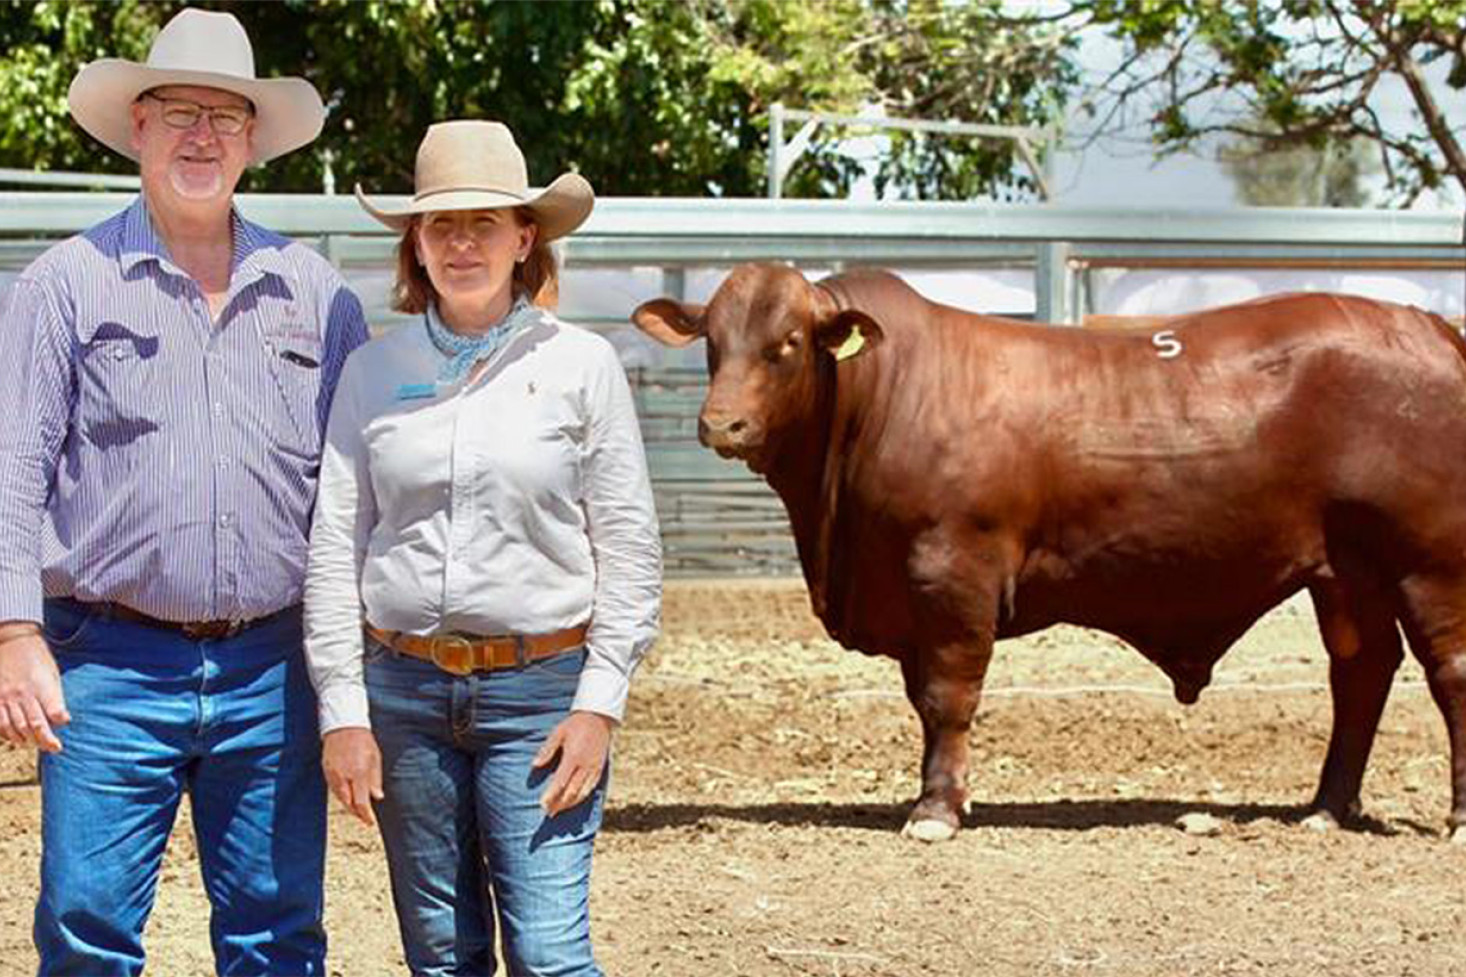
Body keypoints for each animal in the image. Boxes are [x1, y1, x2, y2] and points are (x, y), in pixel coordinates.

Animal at [632, 263, 1466, 844]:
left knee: (1447, 670)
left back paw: (1453, 817)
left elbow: (948, 697)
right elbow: (923, 701)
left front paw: (936, 809)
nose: (722, 425)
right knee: (1361, 670)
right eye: (712, 343)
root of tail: (1430, 328)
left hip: (1427, 561)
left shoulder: (953, 574)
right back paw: (1326, 808)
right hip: (1347, 569)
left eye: (787, 344)